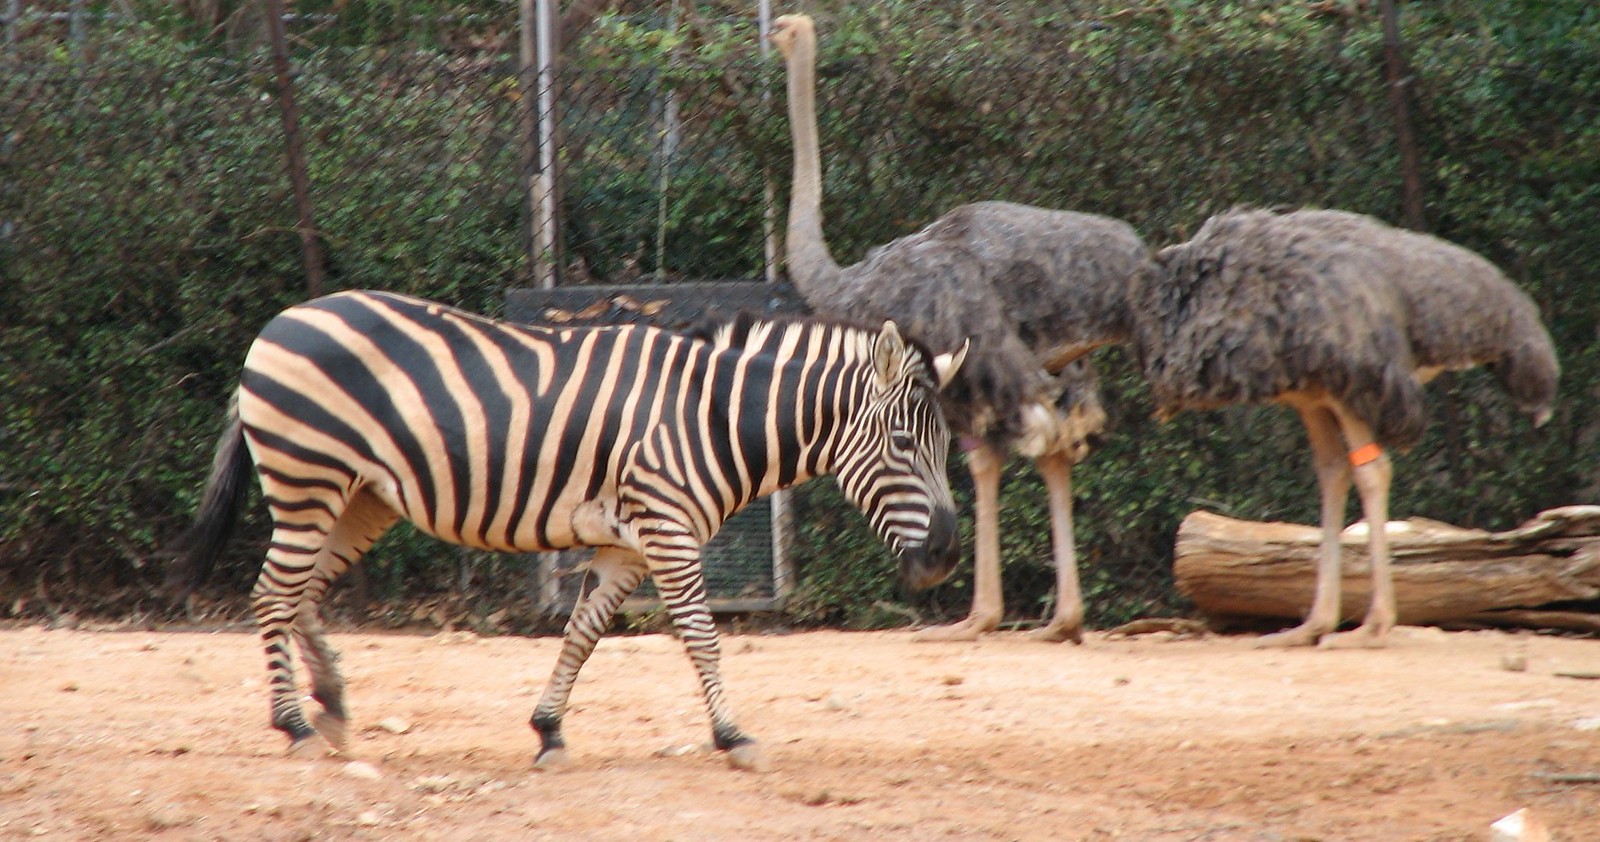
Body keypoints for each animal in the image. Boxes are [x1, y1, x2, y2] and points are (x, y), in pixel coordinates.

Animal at [170, 289, 968, 772]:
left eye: (946, 447)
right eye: (904, 442)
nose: (943, 556)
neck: (707, 415)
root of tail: (280, 322)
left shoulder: (626, 546)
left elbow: (582, 633)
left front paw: (548, 729)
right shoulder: (669, 529)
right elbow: (701, 636)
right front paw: (733, 735)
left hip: (363, 498)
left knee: (300, 593)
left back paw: (331, 703)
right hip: (309, 480)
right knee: (273, 594)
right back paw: (295, 725)